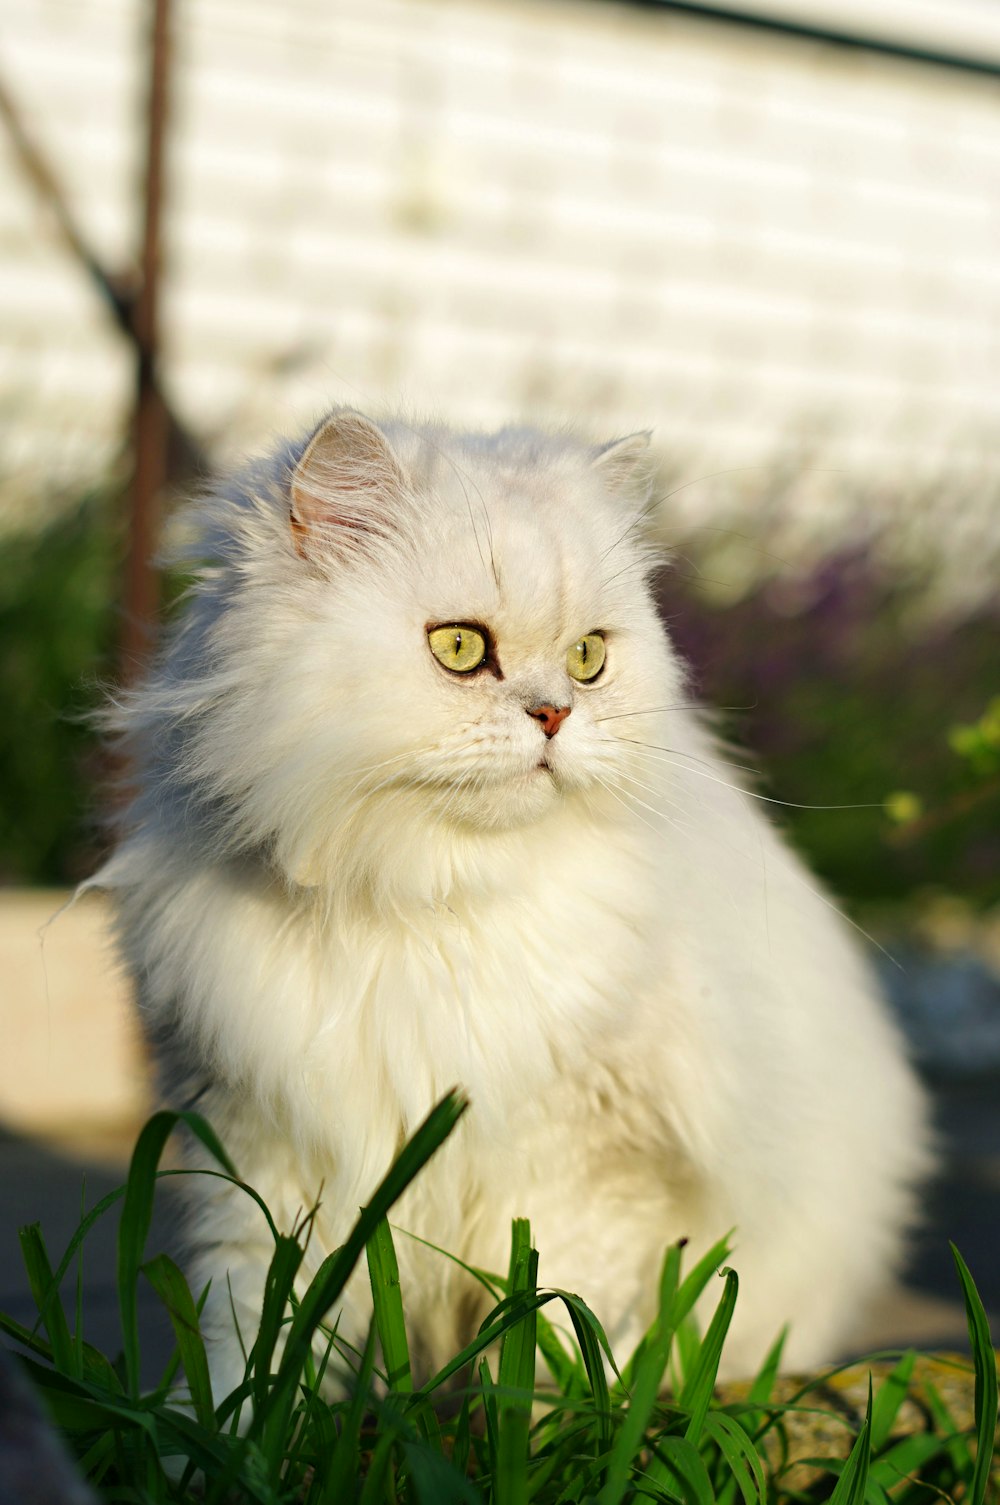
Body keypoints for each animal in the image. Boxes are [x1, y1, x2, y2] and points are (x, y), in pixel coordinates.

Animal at [93, 409, 927, 1396]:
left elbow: (557, 1329)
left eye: (588, 659)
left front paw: (542, 1418)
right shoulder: (267, 1158)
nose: (556, 715)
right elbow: (252, 1337)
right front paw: (232, 1420)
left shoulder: (582, 1173)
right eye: (460, 648)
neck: (428, 901)